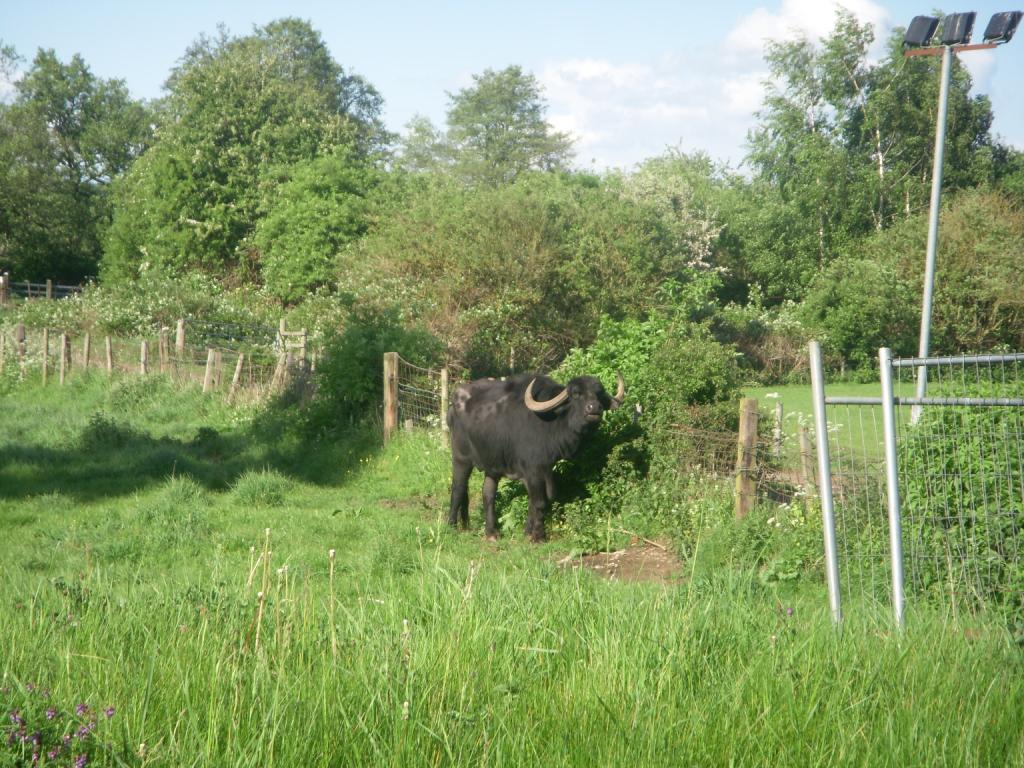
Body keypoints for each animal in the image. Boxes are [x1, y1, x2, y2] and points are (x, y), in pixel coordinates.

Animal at [447, 372, 625, 541]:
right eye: (576, 394)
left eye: (598, 394)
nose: (594, 408)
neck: (551, 422)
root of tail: (453, 404)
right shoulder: (533, 469)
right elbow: (539, 502)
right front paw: (538, 536)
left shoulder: (544, 469)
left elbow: (537, 500)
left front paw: (527, 532)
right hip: (461, 458)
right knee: (458, 488)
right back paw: (451, 526)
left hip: (493, 466)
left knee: (488, 493)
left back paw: (491, 533)